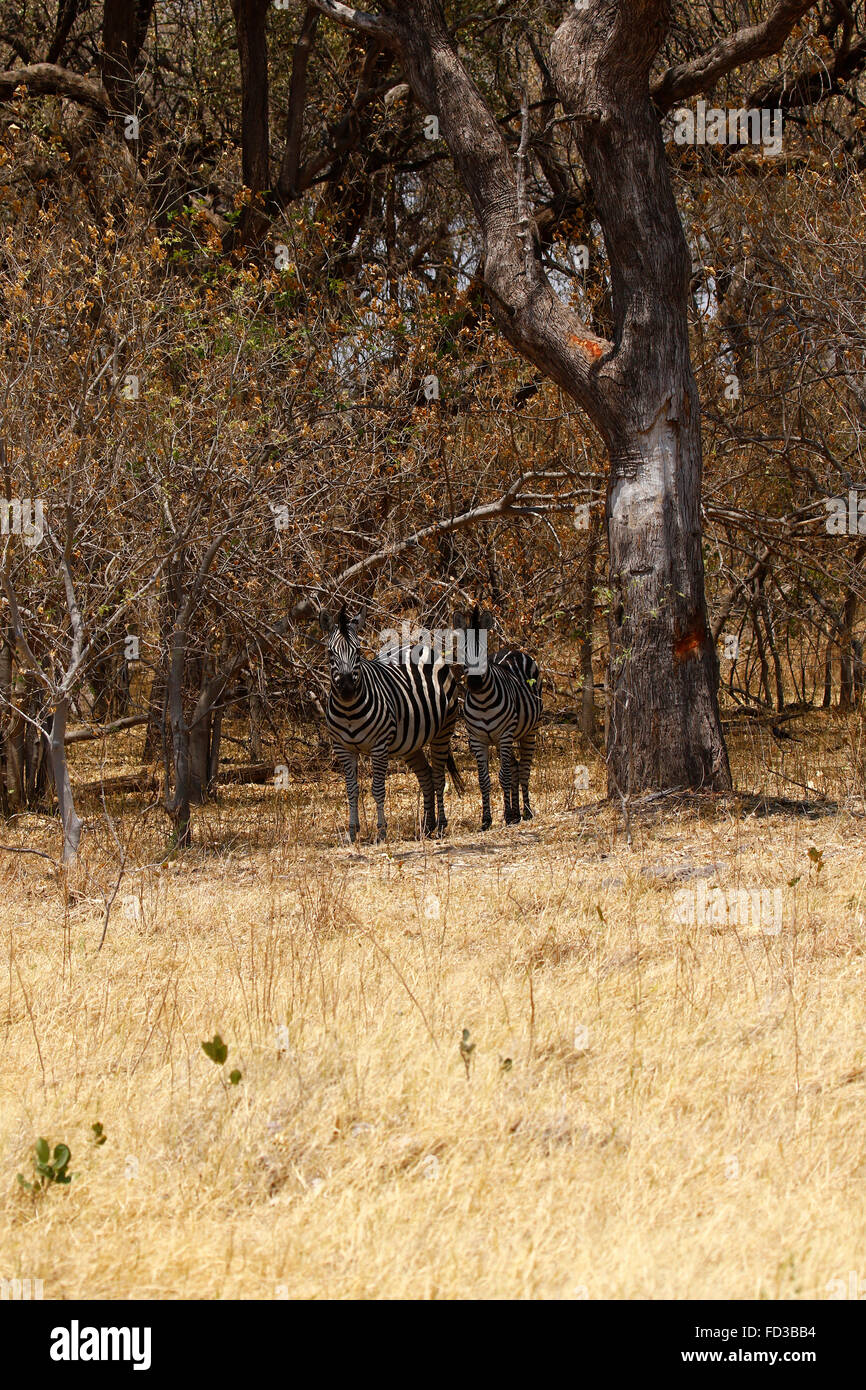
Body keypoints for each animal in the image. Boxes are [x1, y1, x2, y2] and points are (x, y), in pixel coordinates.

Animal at [320, 605, 464, 843]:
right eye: (330, 653)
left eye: (358, 652)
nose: (348, 689)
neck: (349, 710)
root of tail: (417, 646)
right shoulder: (343, 748)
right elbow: (351, 789)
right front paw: (352, 832)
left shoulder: (379, 746)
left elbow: (377, 789)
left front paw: (381, 832)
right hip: (410, 743)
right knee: (426, 777)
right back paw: (427, 826)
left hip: (443, 731)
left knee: (438, 777)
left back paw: (441, 827)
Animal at [453, 606, 542, 830]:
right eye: (463, 651)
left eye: (484, 651)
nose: (475, 683)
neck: (483, 701)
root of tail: (513, 650)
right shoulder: (477, 740)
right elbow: (484, 780)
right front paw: (486, 819)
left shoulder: (504, 735)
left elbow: (504, 776)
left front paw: (508, 815)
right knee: (516, 767)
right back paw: (517, 813)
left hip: (529, 731)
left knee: (524, 769)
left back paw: (525, 812)